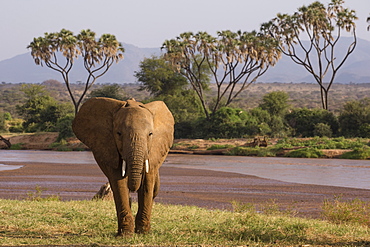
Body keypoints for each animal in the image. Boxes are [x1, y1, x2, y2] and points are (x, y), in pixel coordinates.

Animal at [74, 97, 176, 235]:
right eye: (119, 133)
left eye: (150, 134)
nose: (133, 188)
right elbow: (119, 183)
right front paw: (126, 235)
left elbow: (147, 183)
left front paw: (142, 233)